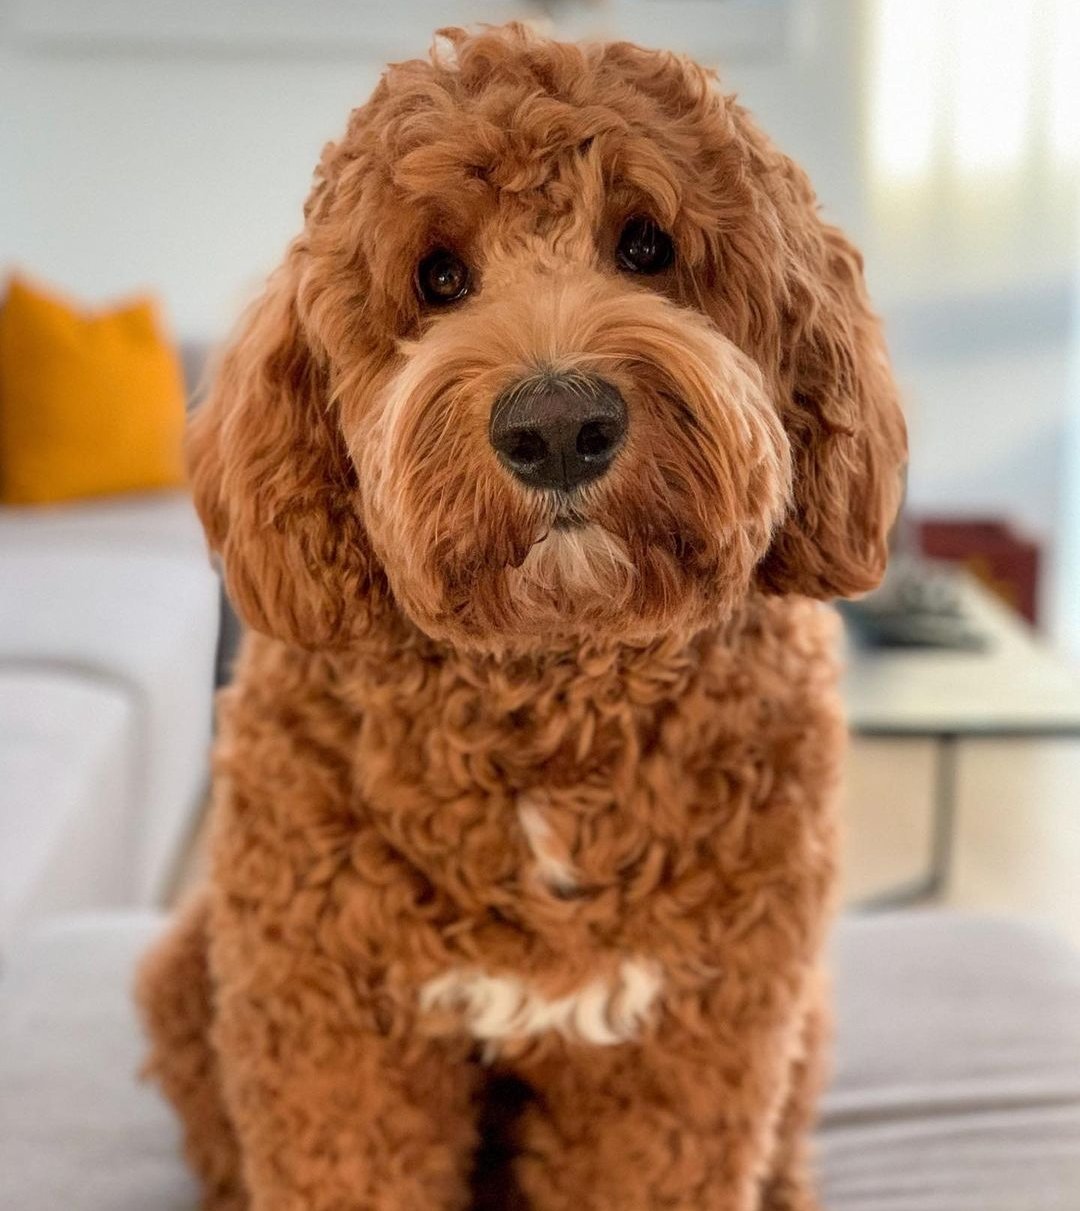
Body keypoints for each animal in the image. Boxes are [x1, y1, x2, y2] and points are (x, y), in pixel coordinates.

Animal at [139, 21, 905, 1211]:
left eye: (646, 245)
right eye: (439, 275)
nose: (557, 425)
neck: (547, 693)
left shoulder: (689, 1039)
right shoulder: (334, 1027)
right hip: (192, 969)